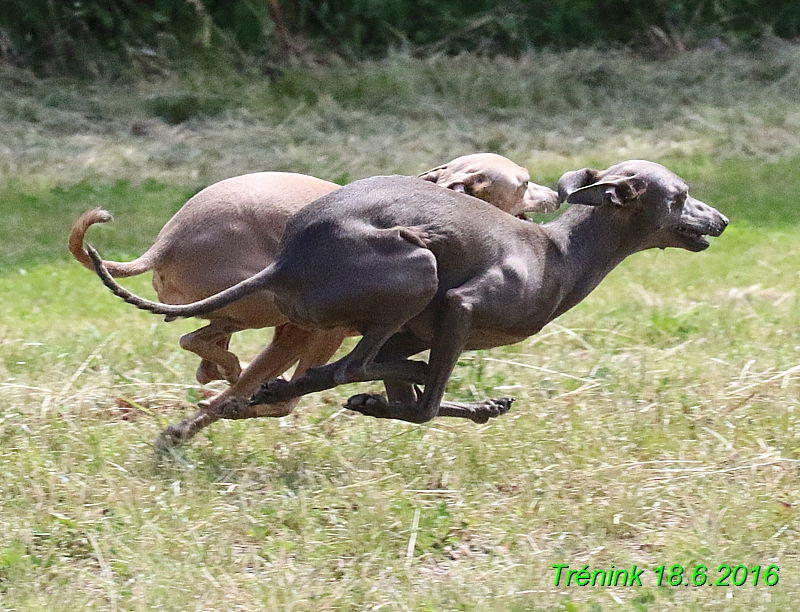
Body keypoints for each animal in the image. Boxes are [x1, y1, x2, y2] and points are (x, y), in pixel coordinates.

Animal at [69, 155, 560, 436]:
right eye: (524, 182)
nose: (558, 194)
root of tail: (164, 243)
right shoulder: (324, 336)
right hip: (274, 310)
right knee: (210, 346)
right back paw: (227, 376)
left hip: (254, 314)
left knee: (206, 344)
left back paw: (216, 377)